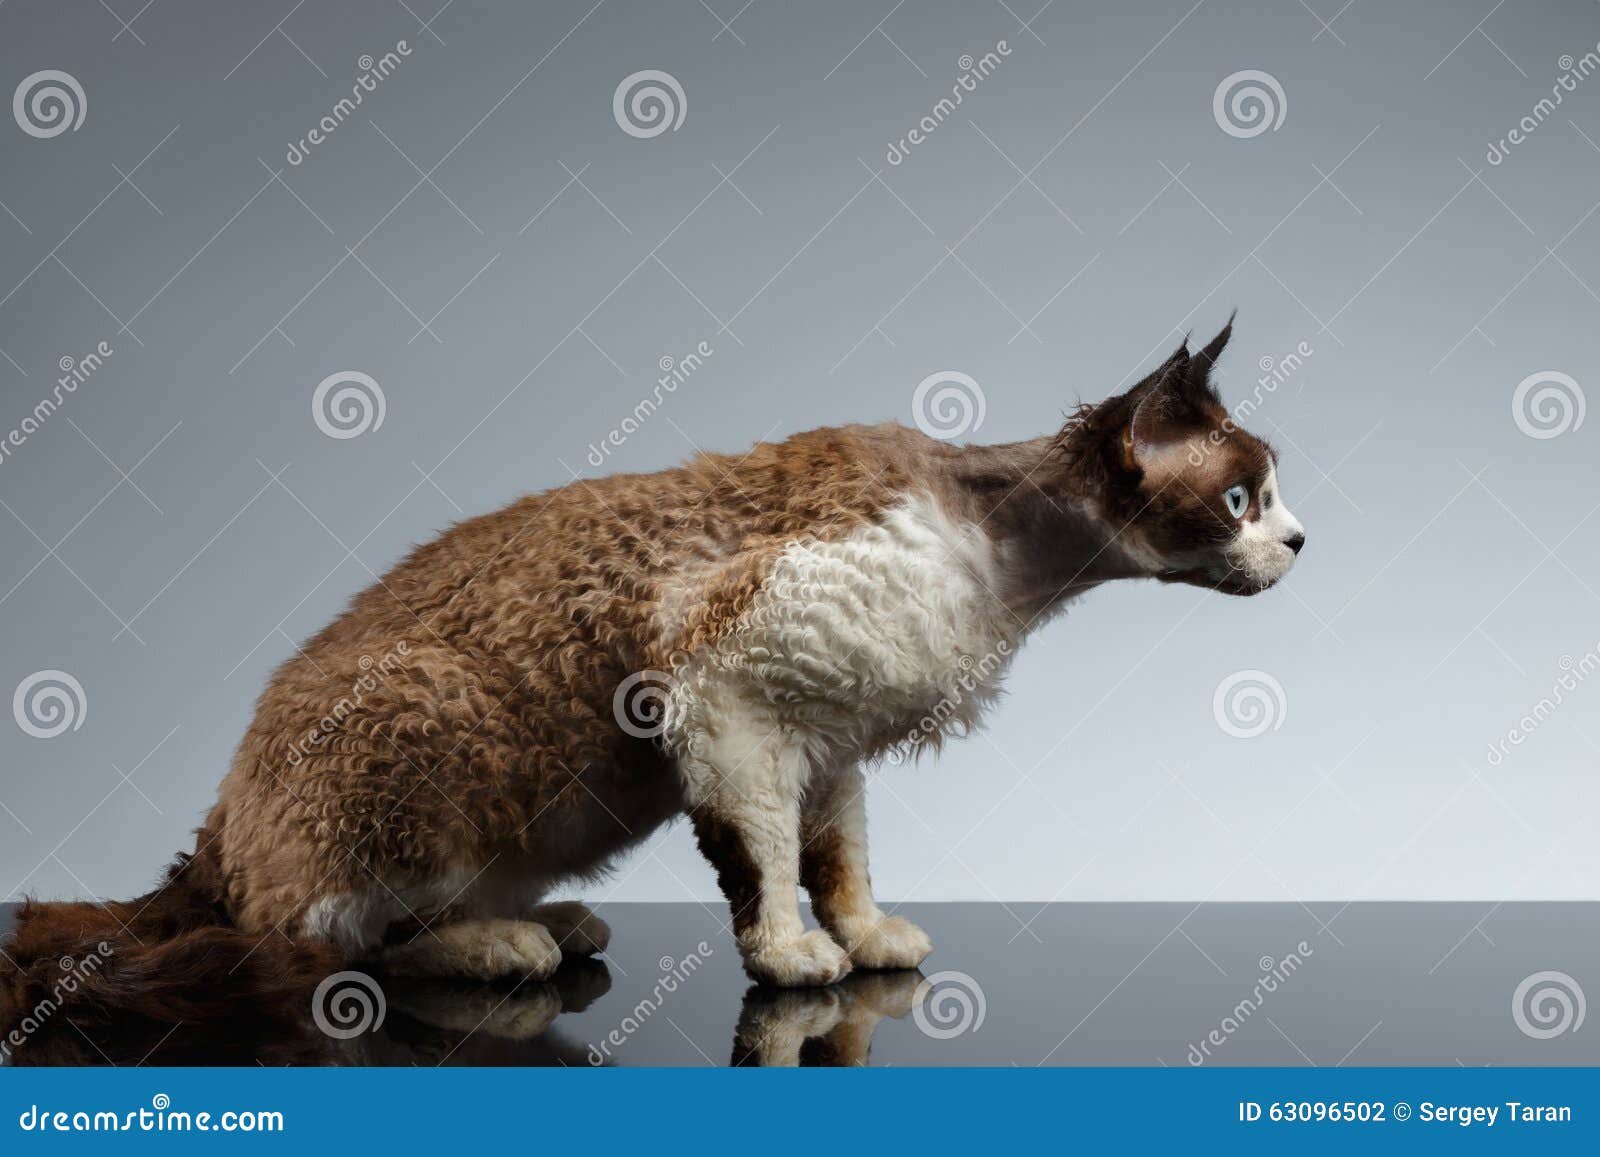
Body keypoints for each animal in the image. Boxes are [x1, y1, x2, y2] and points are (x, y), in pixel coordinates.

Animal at [3, 316, 1299, 1030]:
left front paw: (861, 930)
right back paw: (501, 941)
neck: (1003, 566)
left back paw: (544, 917)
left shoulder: (828, 739)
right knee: (322, 943)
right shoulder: (723, 691)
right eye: (1241, 497)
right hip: (429, 712)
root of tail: (219, 831)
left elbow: (840, 854)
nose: (1300, 540)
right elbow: (763, 862)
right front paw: (790, 956)